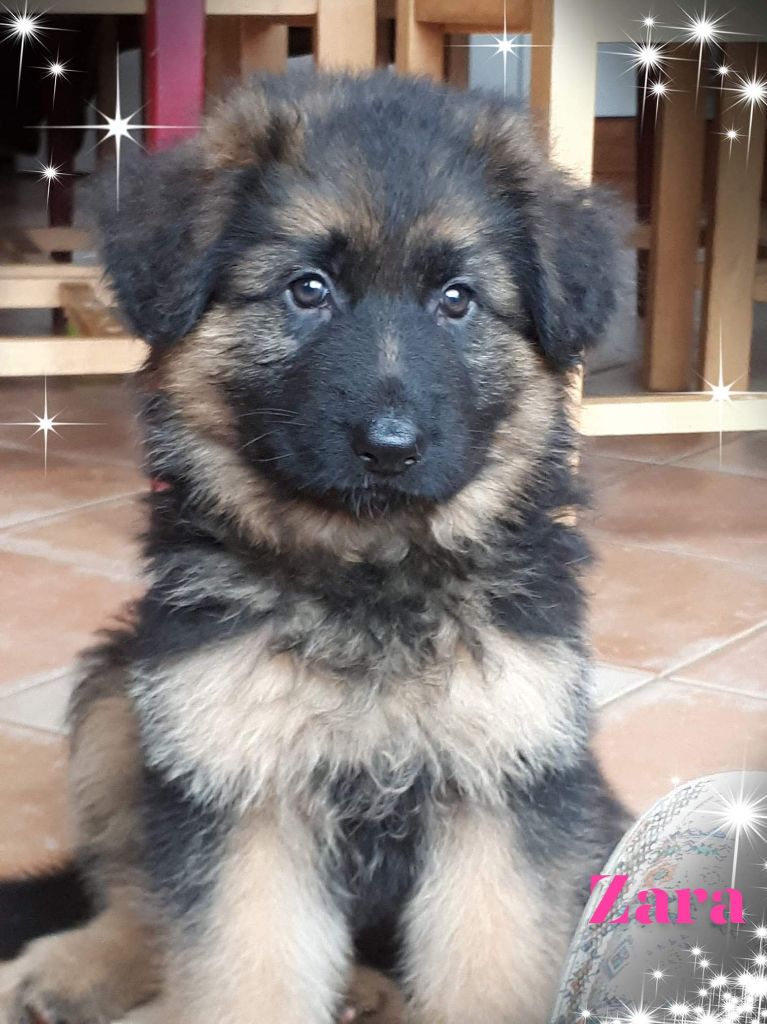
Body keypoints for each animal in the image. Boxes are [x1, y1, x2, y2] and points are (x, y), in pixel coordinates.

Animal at [0, 74, 626, 1024]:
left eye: (456, 299)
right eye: (307, 289)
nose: (390, 446)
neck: (366, 577)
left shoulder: (503, 783)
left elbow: (487, 968)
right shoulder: (240, 784)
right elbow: (237, 967)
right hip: (121, 698)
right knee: (137, 888)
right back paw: (79, 966)